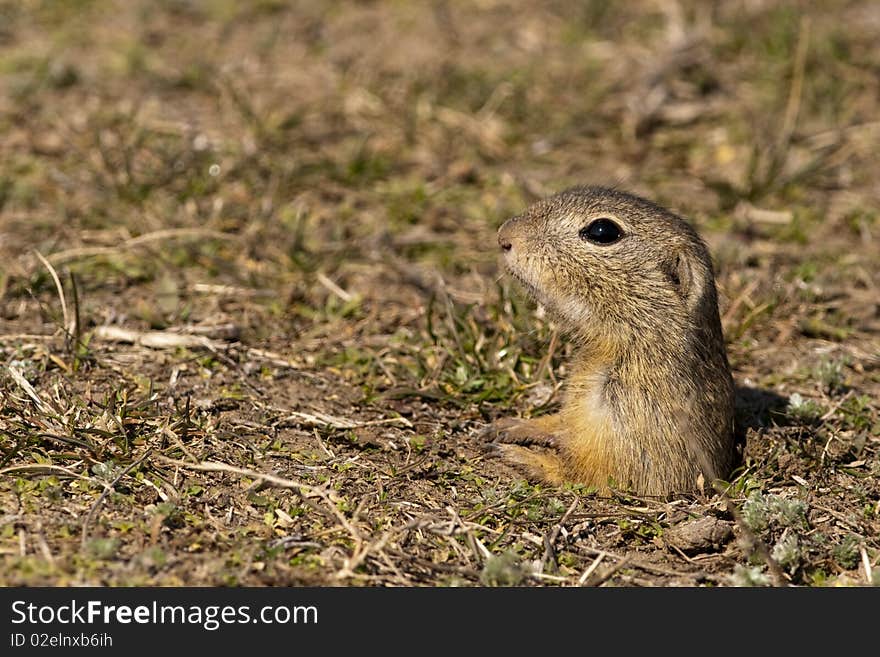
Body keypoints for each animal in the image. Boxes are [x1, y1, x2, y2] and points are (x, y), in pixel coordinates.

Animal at [488, 184, 736, 492]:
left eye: (603, 231)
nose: (504, 236)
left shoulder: (632, 434)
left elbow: (582, 474)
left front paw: (522, 456)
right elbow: (561, 424)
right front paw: (511, 425)